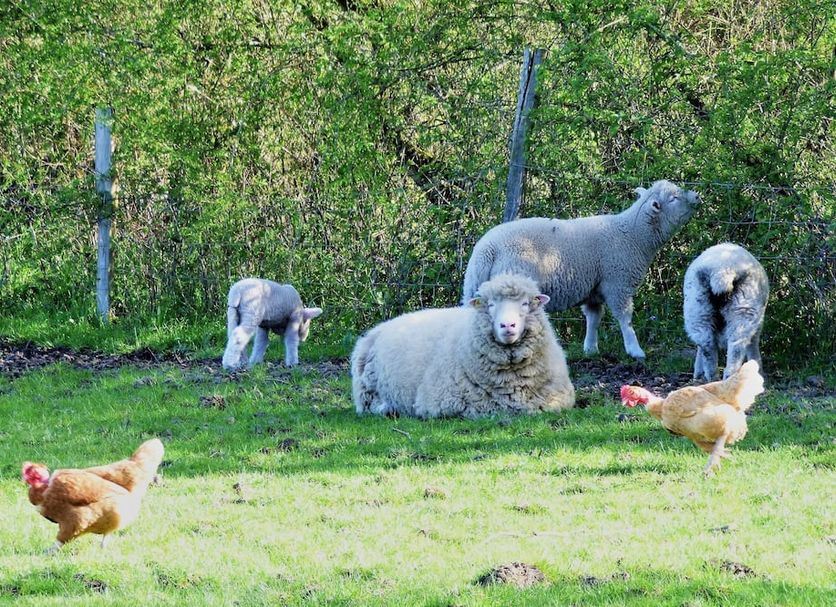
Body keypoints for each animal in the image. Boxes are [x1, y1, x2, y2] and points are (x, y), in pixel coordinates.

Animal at [351, 273, 575, 419]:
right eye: (491, 304)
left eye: (525, 304)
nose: (507, 325)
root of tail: (376, 330)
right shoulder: (444, 403)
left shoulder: (559, 399)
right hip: (368, 389)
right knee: (369, 406)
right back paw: (388, 409)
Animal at [462, 180, 701, 359]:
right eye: (673, 199)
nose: (697, 197)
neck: (634, 235)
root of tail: (487, 249)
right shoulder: (618, 283)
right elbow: (625, 318)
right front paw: (635, 350)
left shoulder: (594, 289)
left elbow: (594, 318)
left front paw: (591, 349)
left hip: (473, 288)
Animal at [683, 243, 769, 381]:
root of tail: (721, 270)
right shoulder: (758, 321)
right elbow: (753, 344)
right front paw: (758, 369)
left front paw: (698, 372)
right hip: (743, 309)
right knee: (736, 346)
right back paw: (730, 376)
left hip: (697, 308)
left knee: (706, 345)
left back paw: (712, 377)